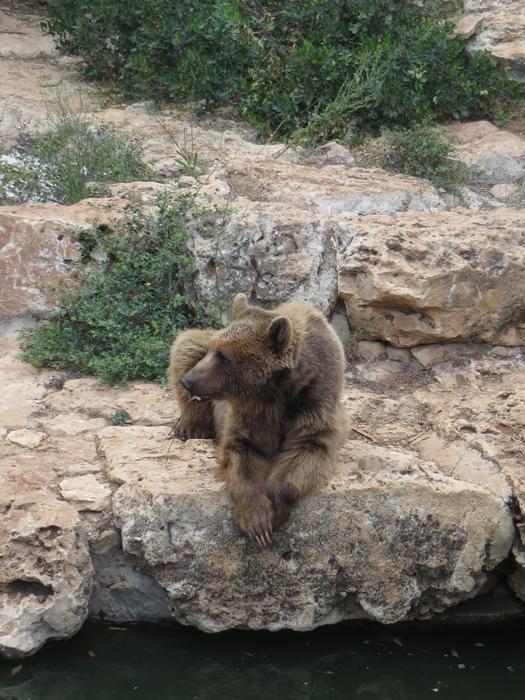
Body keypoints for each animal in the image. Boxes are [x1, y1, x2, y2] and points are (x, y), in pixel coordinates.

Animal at [167, 293, 349, 547]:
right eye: (214, 350)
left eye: (224, 356)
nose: (189, 381)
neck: (278, 390)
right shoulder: (253, 410)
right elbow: (243, 450)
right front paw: (257, 522)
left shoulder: (315, 400)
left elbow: (309, 448)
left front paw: (276, 509)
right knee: (187, 343)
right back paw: (190, 427)